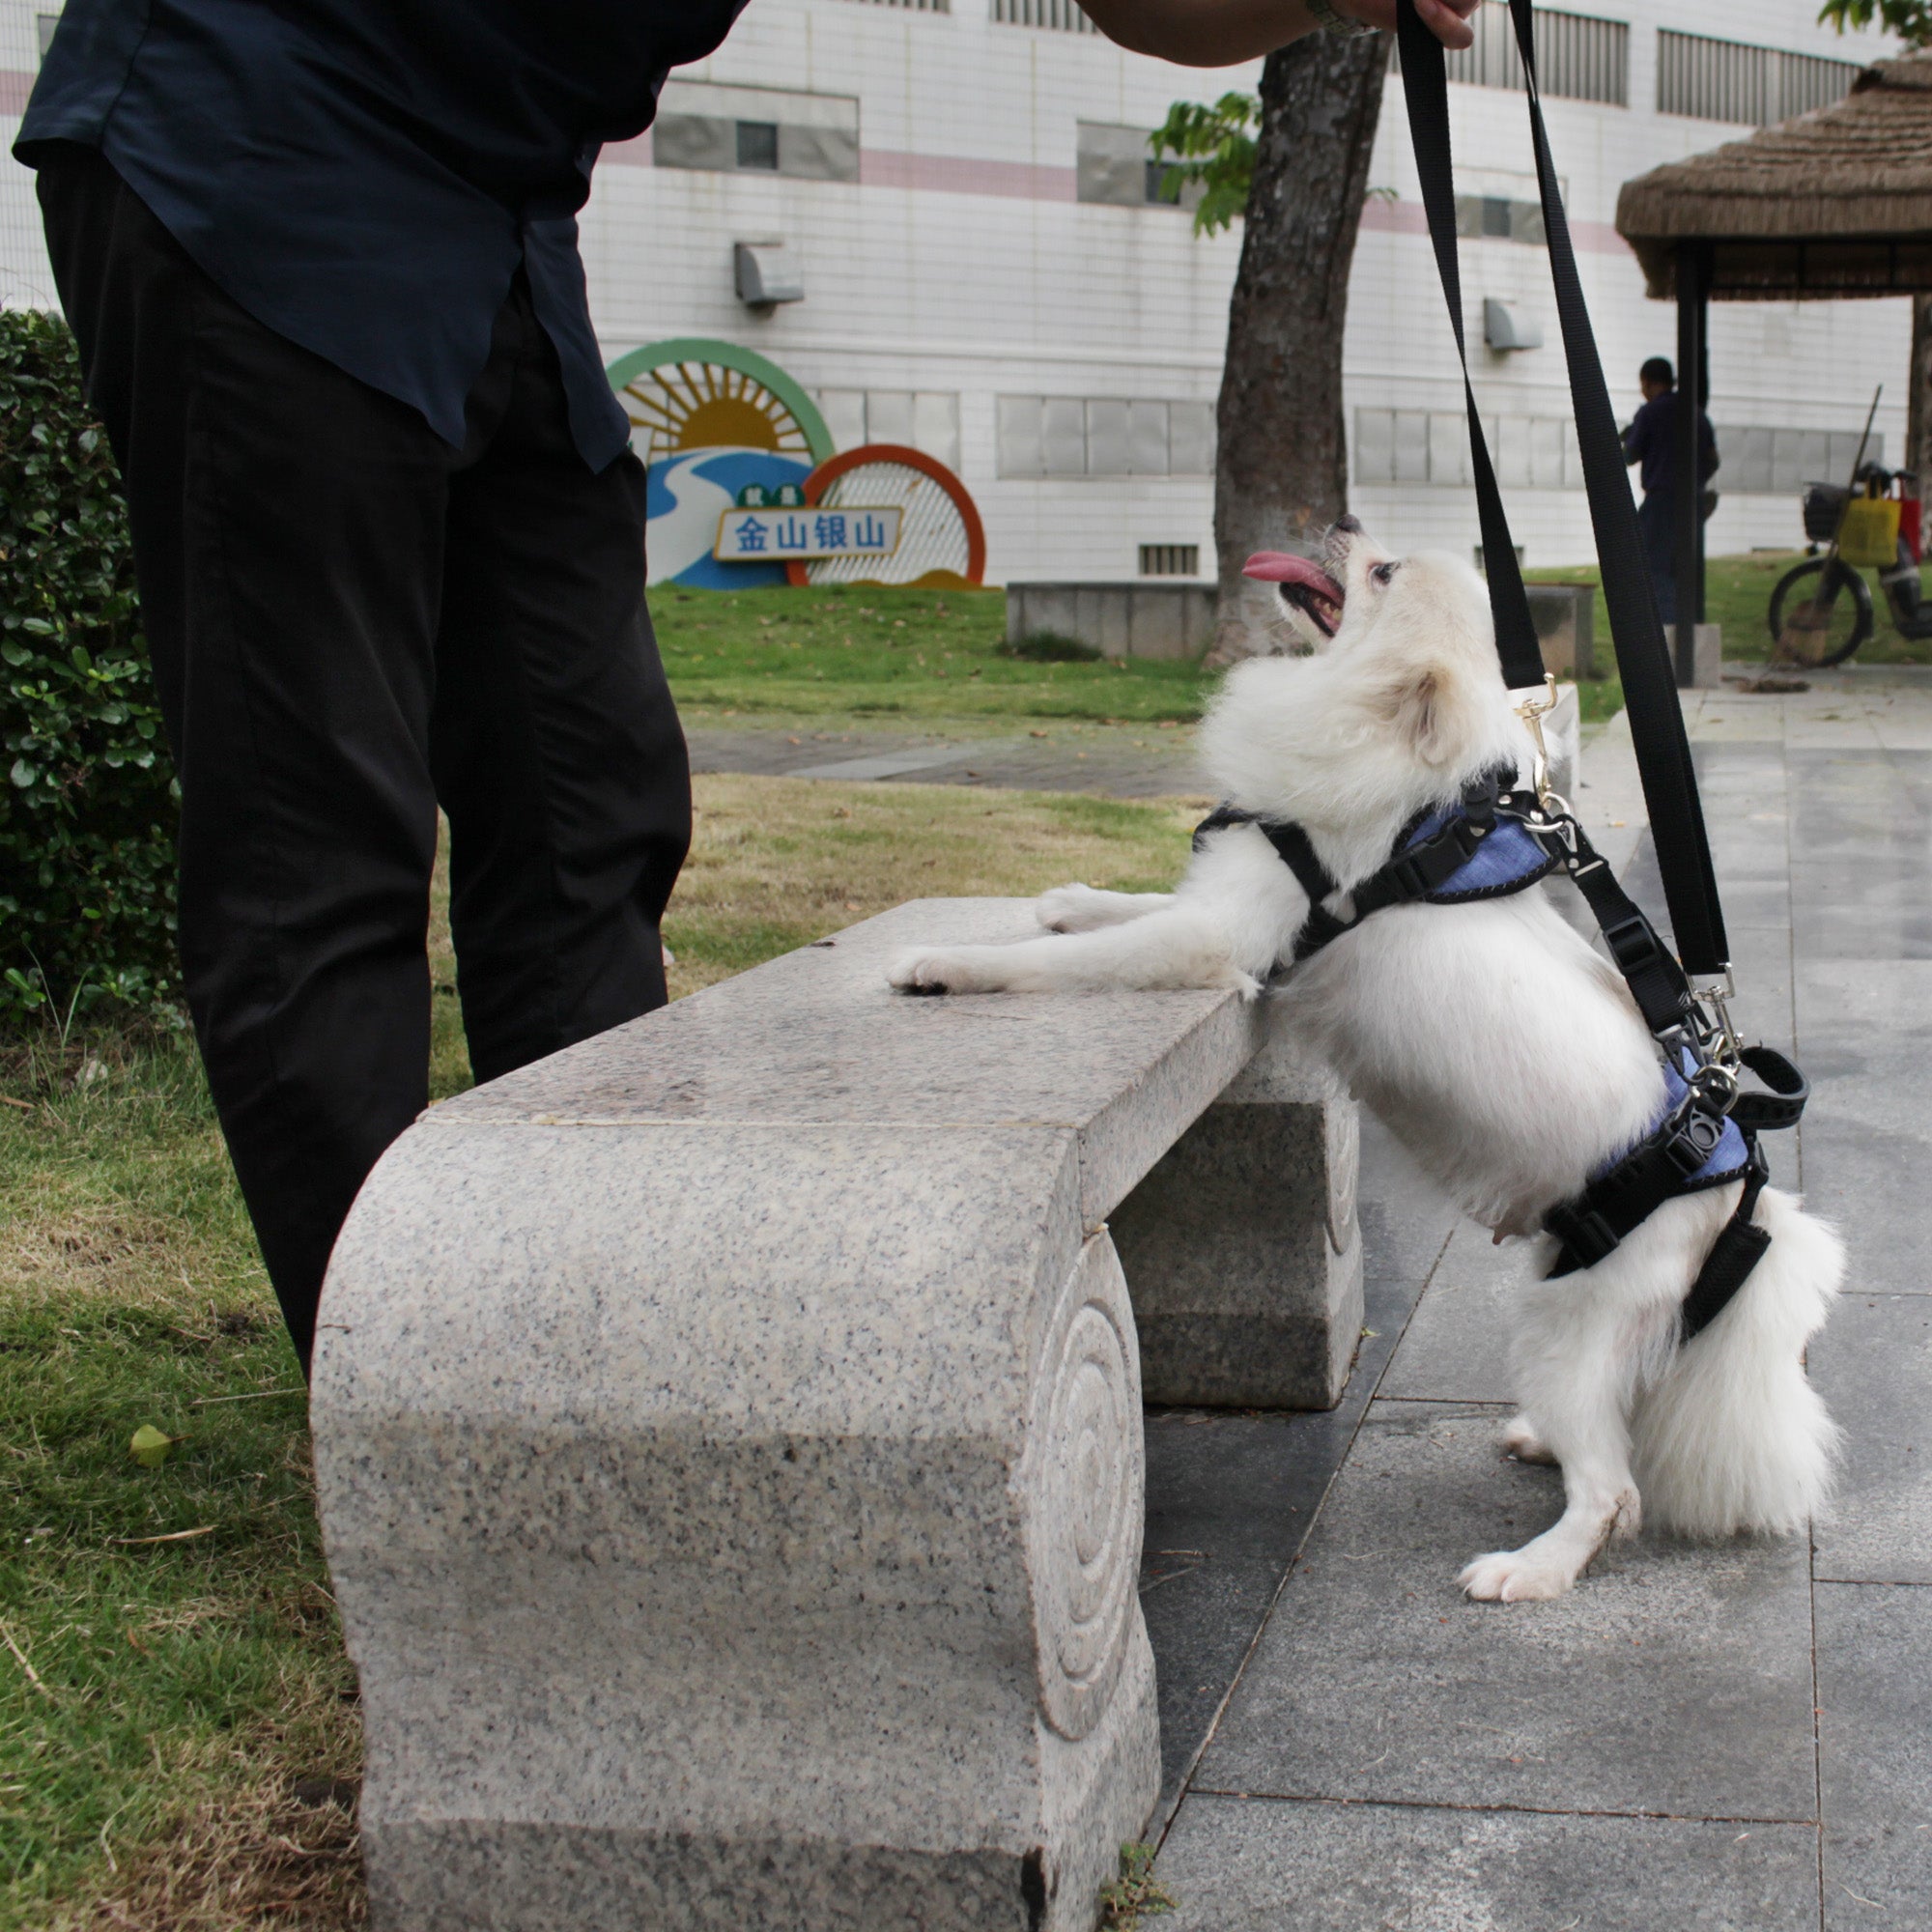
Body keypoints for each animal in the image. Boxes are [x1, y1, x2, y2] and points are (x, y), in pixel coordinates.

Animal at [889, 514, 1839, 1600]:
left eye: (1380, 573)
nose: (1344, 521)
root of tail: (1741, 1206)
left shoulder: (1219, 936)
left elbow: (1073, 962)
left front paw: (945, 964)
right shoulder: (1220, 900)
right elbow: (1121, 910)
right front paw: (1068, 896)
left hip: (1567, 1325)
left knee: (1614, 1490)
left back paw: (1527, 1568)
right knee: (1615, 1429)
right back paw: (1536, 1446)